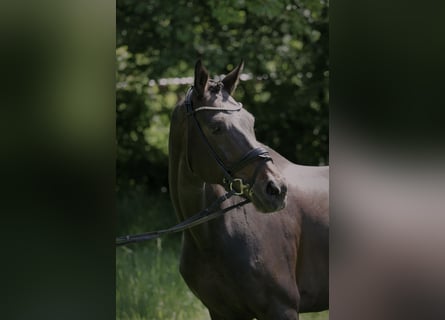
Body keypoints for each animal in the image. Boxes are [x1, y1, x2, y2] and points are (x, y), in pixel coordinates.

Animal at [166, 59, 326, 318]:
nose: (276, 189)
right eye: (216, 128)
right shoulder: (221, 312)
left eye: (250, 122)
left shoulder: (282, 308)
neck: (210, 238)